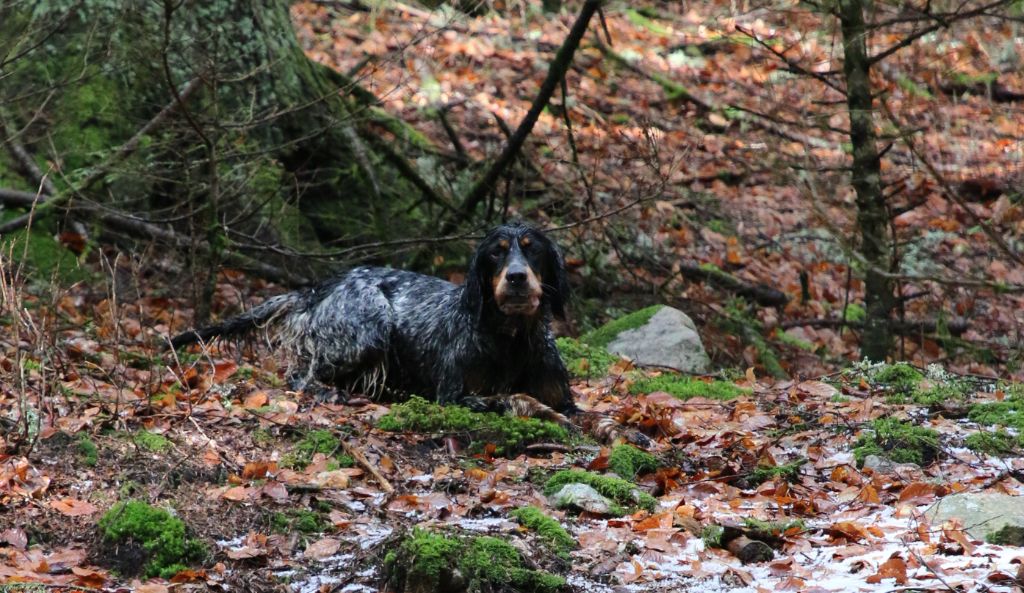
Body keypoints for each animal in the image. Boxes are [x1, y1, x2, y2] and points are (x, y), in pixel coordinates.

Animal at [172, 221, 581, 421]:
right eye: (496, 254)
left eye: (532, 250)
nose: (516, 278)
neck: (512, 339)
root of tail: (321, 288)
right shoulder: (455, 396)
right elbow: (511, 397)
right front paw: (537, 410)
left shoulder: (563, 395)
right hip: (370, 327)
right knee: (299, 374)